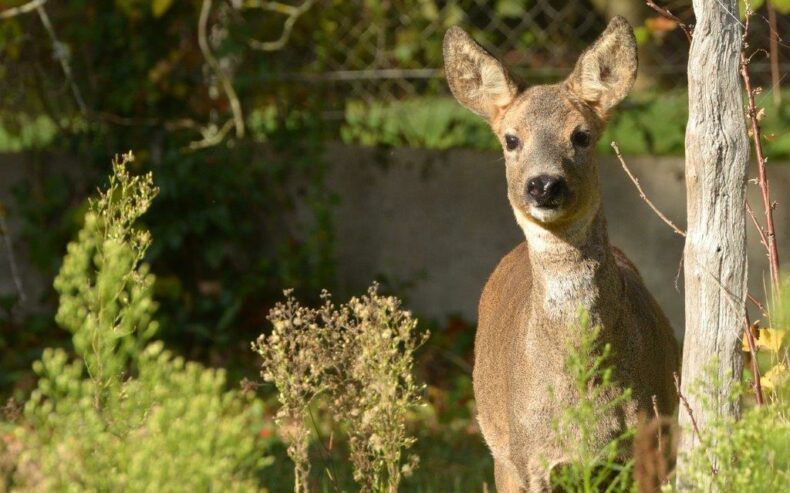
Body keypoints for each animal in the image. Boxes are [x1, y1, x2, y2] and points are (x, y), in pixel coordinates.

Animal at [446, 16, 680, 492]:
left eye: (582, 135)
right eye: (511, 139)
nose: (544, 184)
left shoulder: (650, 443)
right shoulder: (530, 457)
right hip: (500, 451)